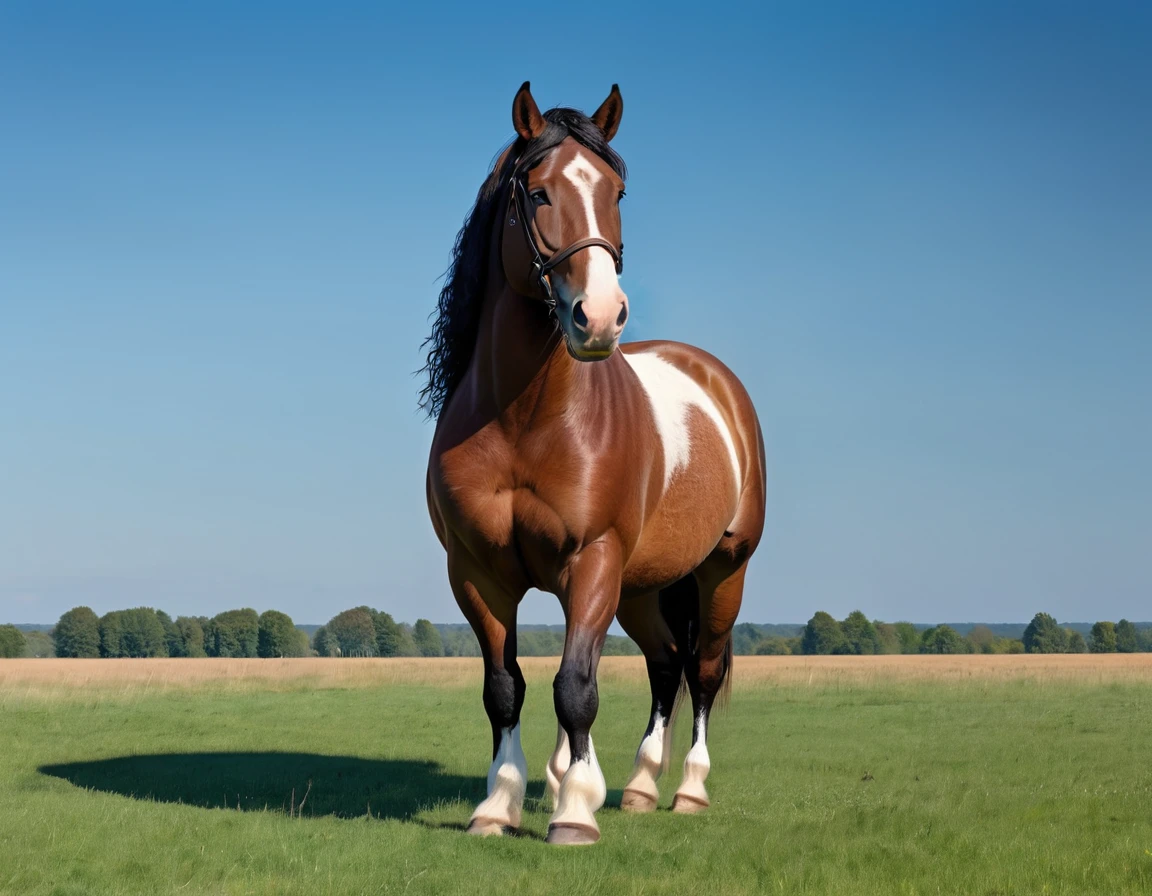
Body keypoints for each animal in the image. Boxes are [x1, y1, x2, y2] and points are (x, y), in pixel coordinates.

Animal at [423, 82, 766, 846]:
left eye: (617, 190)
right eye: (538, 193)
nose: (601, 316)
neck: (525, 421)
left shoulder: (594, 559)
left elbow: (575, 686)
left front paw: (575, 811)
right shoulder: (478, 574)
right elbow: (507, 688)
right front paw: (500, 805)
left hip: (720, 572)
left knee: (701, 671)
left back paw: (687, 791)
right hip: (640, 587)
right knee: (665, 664)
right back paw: (637, 786)